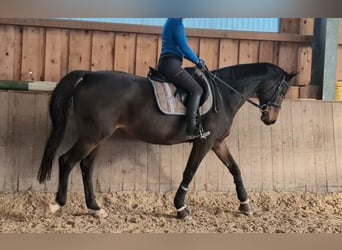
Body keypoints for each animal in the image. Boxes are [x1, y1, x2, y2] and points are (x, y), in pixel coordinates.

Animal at [36, 62, 296, 219]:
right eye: (283, 91)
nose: (270, 119)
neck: (225, 94)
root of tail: (88, 76)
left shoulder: (218, 143)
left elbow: (236, 169)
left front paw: (245, 205)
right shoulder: (204, 142)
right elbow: (189, 172)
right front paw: (181, 208)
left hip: (98, 137)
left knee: (86, 166)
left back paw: (96, 208)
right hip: (92, 136)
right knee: (67, 161)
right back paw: (57, 204)